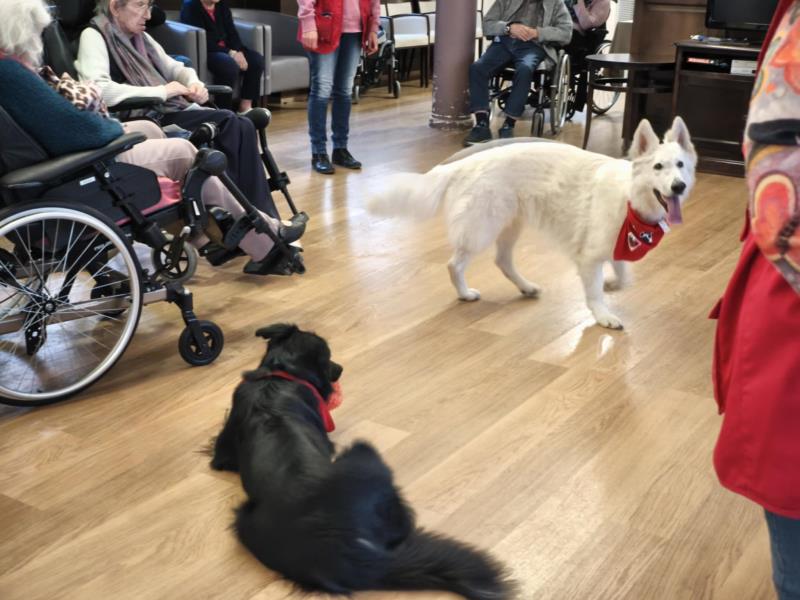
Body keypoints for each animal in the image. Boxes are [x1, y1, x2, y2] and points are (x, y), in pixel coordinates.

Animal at [211, 324, 513, 599]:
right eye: (329, 358)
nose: (341, 368)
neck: (281, 373)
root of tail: (350, 551)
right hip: (365, 455)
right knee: (404, 520)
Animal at [367, 117, 697, 329]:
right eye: (658, 167)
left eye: (680, 165)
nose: (678, 186)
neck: (630, 197)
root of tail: (466, 163)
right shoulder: (589, 256)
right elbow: (594, 292)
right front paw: (603, 314)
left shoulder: (614, 246)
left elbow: (624, 275)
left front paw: (612, 284)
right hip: (483, 228)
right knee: (455, 264)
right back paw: (464, 293)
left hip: (510, 225)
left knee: (502, 261)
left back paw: (525, 286)